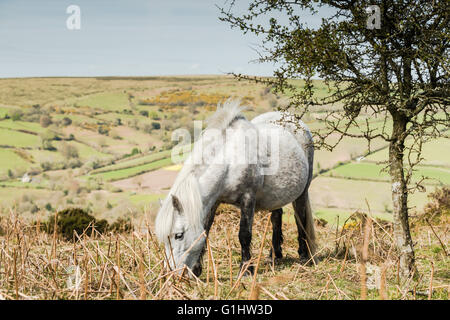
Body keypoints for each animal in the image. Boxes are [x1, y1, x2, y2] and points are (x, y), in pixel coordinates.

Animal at [155, 101, 316, 276]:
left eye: (179, 235)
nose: (170, 273)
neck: (230, 160)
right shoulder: (214, 201)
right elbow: (206, 230)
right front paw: (197, 268)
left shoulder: (248, 198)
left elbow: (244, 234)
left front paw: (245, 269)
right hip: (275, 196)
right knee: (276, 216)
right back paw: (274, 255)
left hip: (302, 192)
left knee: (300, 218)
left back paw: (304, 255)